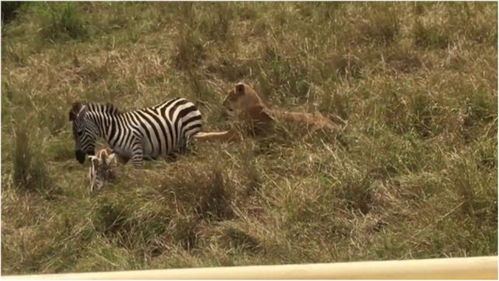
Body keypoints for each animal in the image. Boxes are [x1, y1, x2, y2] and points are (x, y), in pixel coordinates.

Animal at [68, 97, 203, 166]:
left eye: (79, 133)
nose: (78, 158)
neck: (115, 129)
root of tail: (187, 100)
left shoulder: (137, 153)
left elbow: (138, 179)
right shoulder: (121, 156)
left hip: (191, 137)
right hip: (177, 145)